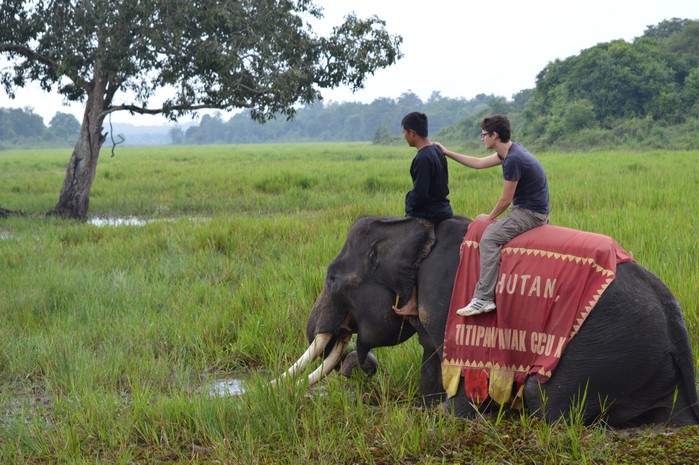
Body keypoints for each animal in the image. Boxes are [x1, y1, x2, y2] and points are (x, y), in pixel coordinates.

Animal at [284, 216, 699, 426]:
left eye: (332, 279)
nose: (360, 363)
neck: (414, 229)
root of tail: (675, 322)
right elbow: (432, 360)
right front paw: (424, 407)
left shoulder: (448, 293)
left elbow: (463, 362)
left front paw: (447, 415)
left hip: (608, 354)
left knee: (541, 398)